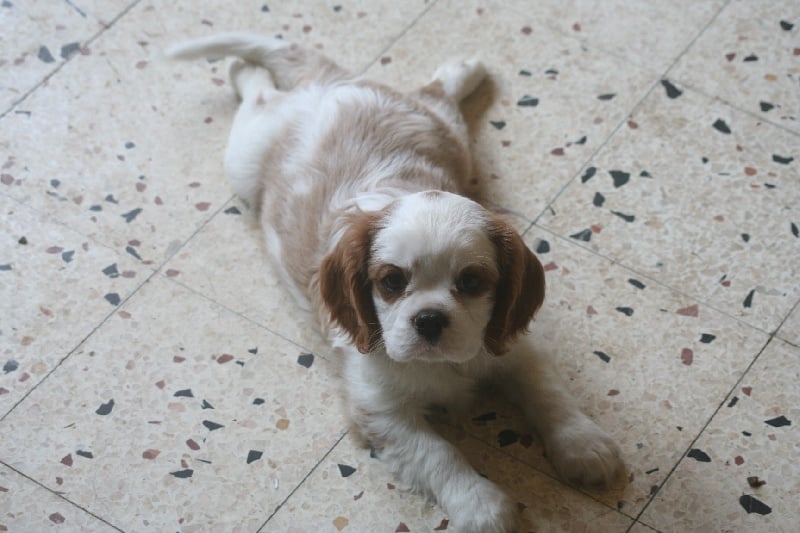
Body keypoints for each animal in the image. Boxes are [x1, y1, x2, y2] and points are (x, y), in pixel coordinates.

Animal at [167, 33, 623, 532]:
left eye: (471, 281)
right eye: (390, 281)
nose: (429, 320)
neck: (446, 365)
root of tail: (338, 85)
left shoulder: (515, 348)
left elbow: (549, 393)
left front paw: (583, 444)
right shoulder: (379, 410)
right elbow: (437, 452)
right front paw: (479, 504)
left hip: (448, 136)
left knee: (435, 92)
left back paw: (464, 68)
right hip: (247, 158)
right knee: (260, 97)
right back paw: (243, 72)